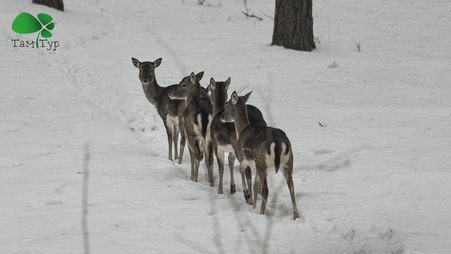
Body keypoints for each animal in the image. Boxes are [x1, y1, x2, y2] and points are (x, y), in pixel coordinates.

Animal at [220, 91, 300, 220]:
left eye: (226, 105)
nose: (221, 117)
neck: (241, 130)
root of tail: (278, 142)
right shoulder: (255, 165)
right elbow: (255, 185)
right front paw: (253, 206)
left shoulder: (243, 158)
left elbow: (245, 175)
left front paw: (248, 198)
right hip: (288, 161)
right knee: (291, 184)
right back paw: (296, 215)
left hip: (262, 162)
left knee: (266, 189)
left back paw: (262, 213)